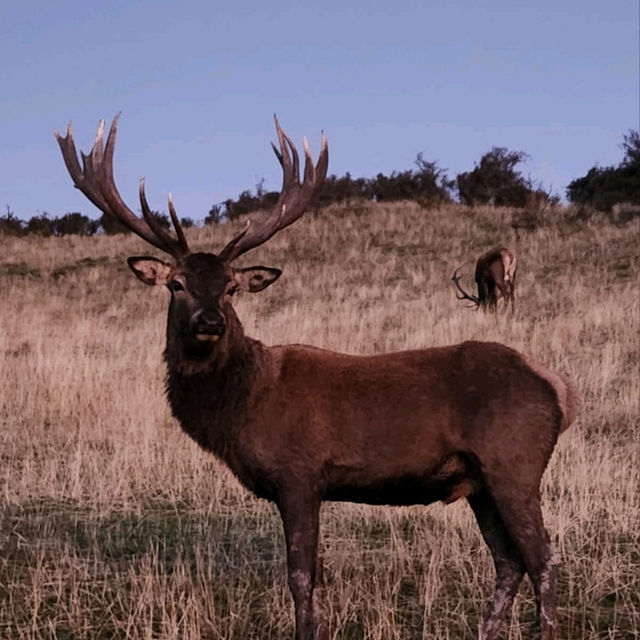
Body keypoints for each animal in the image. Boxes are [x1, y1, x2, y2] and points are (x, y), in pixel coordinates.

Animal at [55, 116, 576, 640]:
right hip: (479, 482)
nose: (210, 321)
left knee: (543, 559)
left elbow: (301, 576)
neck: (244, 402)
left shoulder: (299, 473)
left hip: (513, 463)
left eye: (231, 287)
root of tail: (558, 390)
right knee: (508, 561)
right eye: (176, 284)